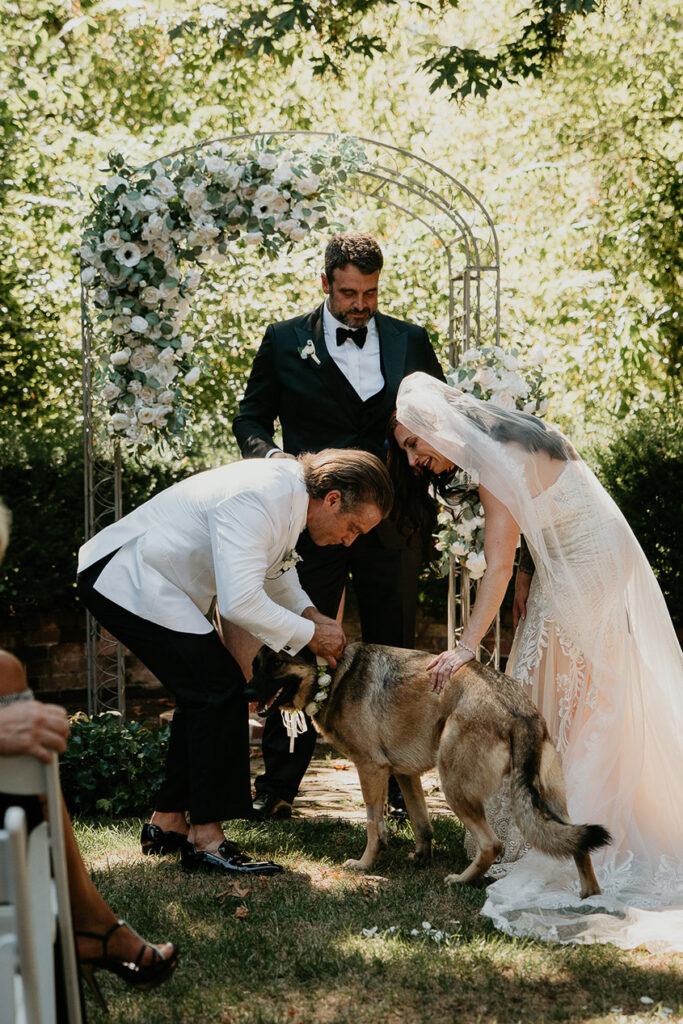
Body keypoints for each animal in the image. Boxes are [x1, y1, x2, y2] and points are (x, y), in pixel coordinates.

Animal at [246, 647, 614, 897]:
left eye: (277, 662)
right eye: (255, 664)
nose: (248, 693)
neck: (335, 677)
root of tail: (518, 710)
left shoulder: (371, 768)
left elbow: (373, 825)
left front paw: (365, 864)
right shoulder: (404, 775)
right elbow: (421, 823)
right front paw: (421, 859)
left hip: (453, 785)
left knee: (492, 845)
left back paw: (462, 880)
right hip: (552, 803)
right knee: (577, 843)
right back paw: (587, 899)